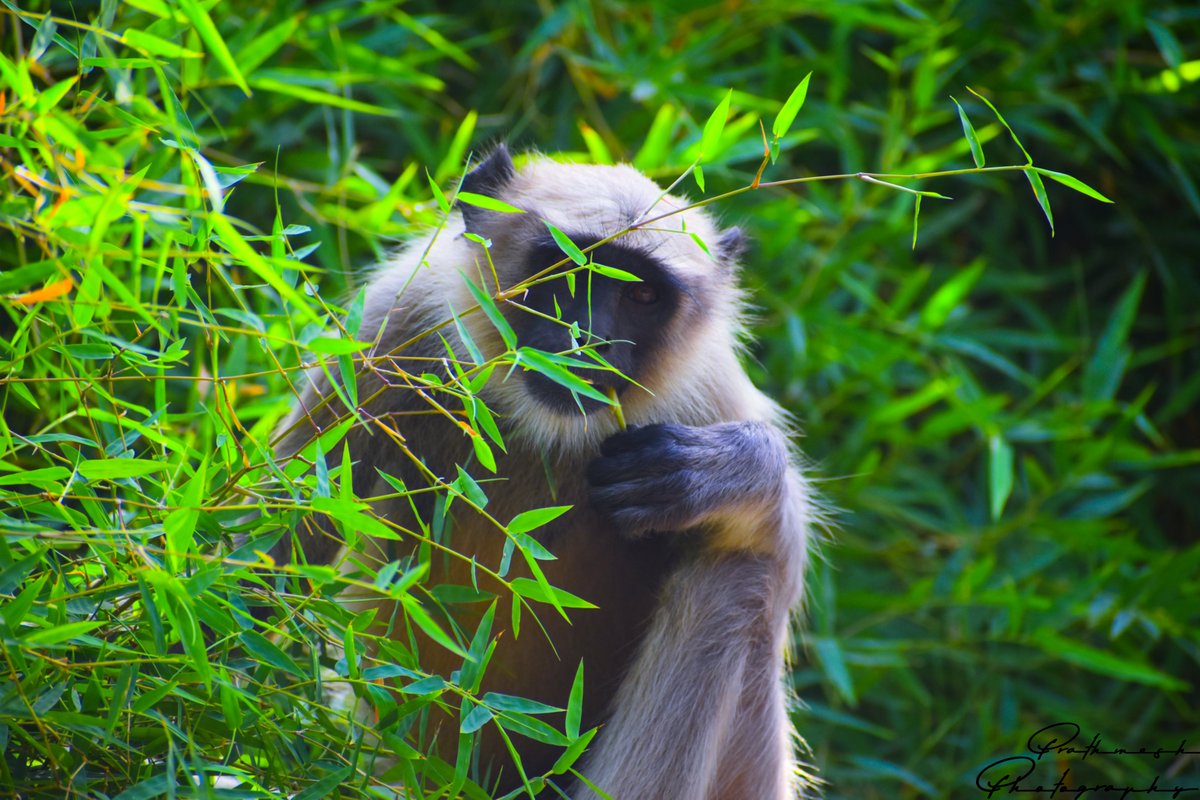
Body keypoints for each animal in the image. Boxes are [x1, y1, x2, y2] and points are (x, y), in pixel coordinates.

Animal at [266, 145, 816, 799]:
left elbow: (781, 558)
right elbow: (272, 548)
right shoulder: (392, 326)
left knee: (738, 577)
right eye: (561, 270)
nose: (586, 341)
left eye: (642, 296)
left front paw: (731, 470)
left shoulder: (707, 393)